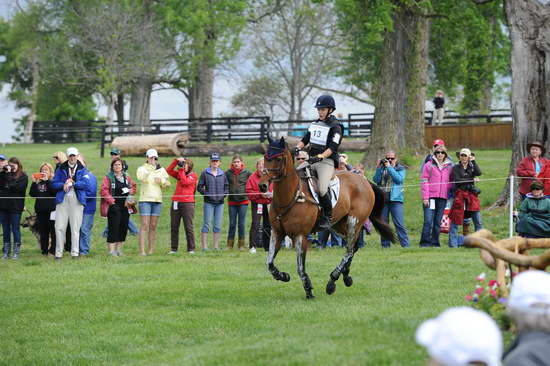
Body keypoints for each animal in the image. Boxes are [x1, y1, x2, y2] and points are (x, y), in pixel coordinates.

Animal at [260, 136, 396, 298]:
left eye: (278, 159)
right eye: (265, 157)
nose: (262, 186)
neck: (290, 196)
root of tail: (364, 181)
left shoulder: (300, 236)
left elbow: (300, 267)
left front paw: (308, 290)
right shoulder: (277, 233)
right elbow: (269, 263)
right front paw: (283, 276)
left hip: (354, 222)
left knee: (349, 249)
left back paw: (333, 280)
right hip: (338, 224)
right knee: (354, 247)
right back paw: (346, 277)